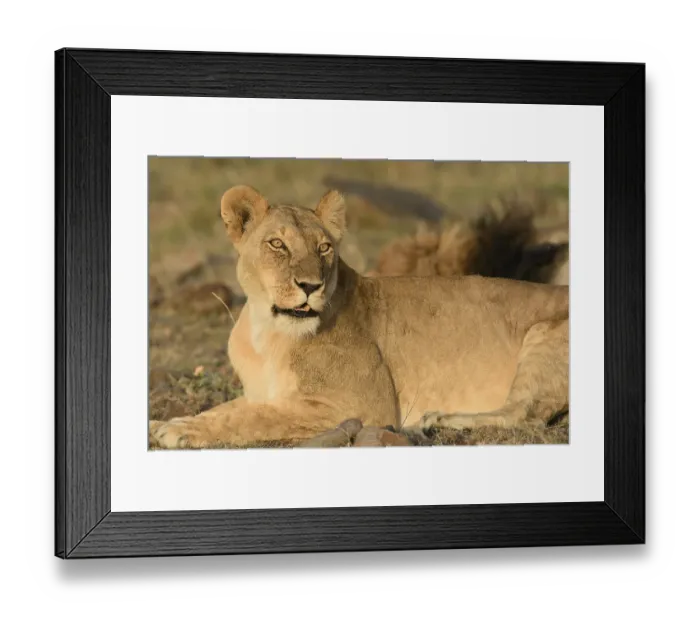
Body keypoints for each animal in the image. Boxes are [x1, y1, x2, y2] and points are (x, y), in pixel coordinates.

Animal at [149, 185, 569, 449]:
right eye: (277, 244)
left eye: (324, 248)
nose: (310, 286)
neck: (266, 333)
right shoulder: (262, 392)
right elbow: (232, 409)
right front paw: (169, 423)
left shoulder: (360, 406)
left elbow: (256, 418)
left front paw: (175, 431)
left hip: (545, 335)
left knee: (526, 414)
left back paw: (440, 420)